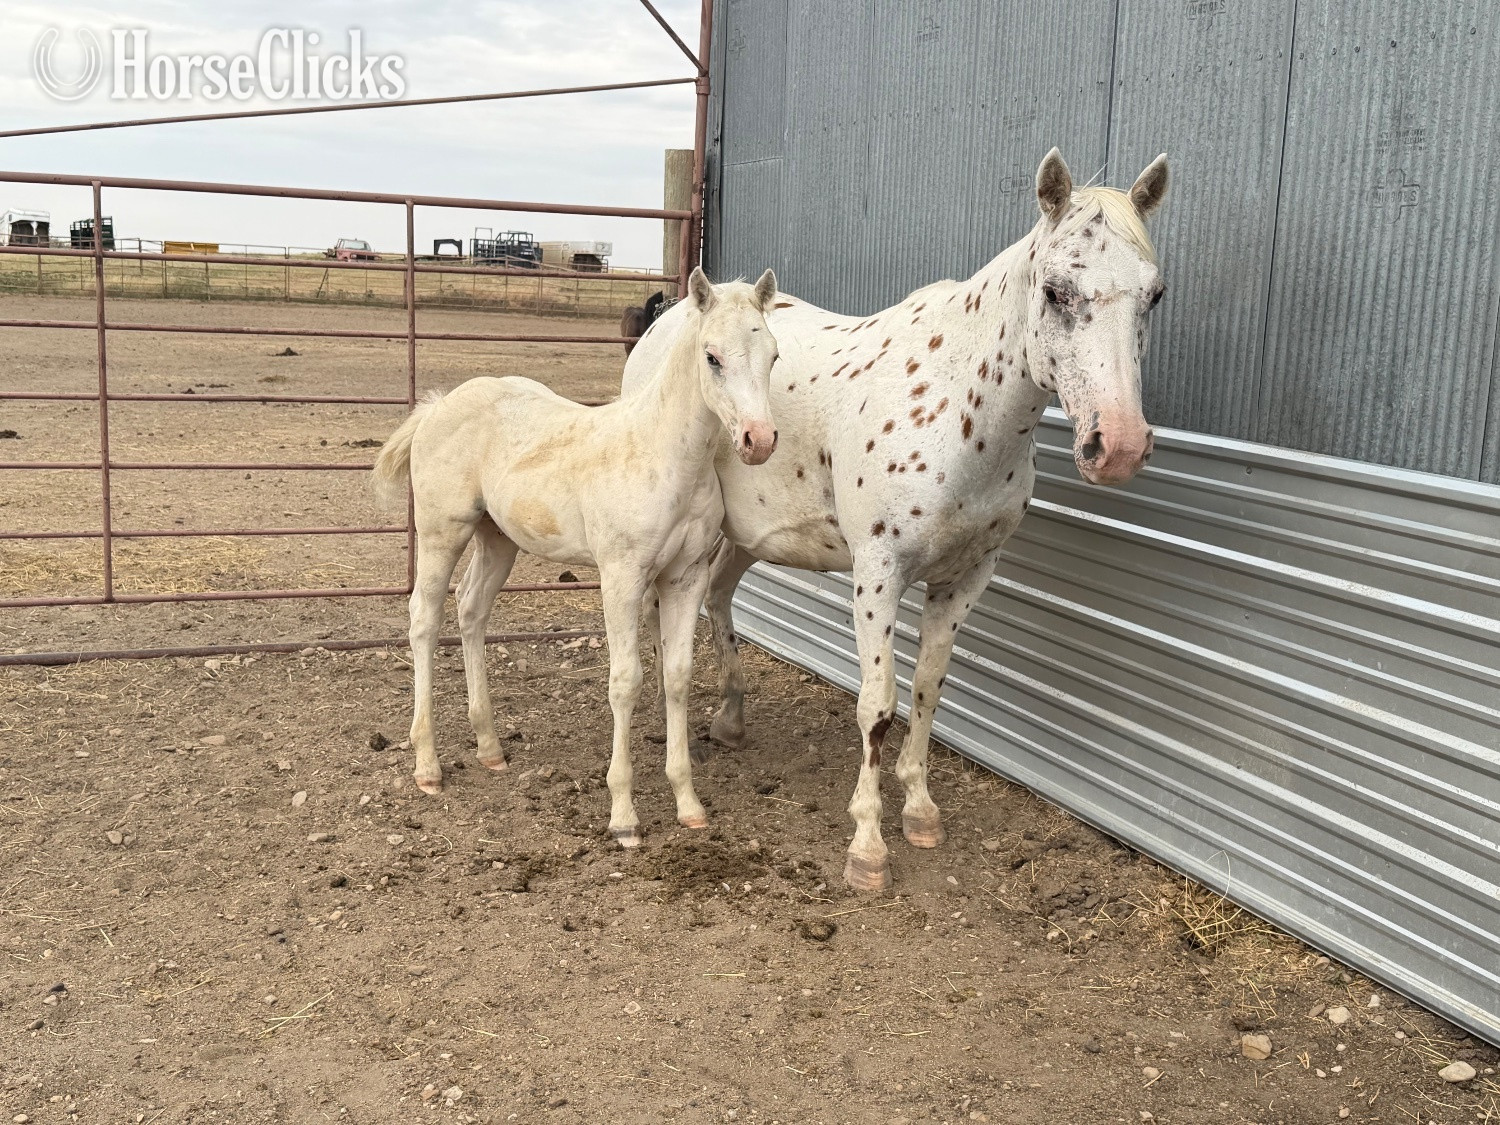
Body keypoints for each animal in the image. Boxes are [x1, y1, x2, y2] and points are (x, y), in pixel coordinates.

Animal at [373, 268, 781, 845]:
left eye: (773, 355)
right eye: (712, 357)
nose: (758, 440)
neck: (666, 457)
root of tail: (436, 406)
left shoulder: (686, 577)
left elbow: (677, 677)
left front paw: (688, 803)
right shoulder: (621, 577)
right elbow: (627, 682)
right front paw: (624, 816)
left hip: (497, 538)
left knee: (471, 610)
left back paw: (490, 747)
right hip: (439, 532)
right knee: (424, 620)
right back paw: (428, 765)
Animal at [621, 149, 1171, 890]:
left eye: (1154, 295)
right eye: (1056, 291)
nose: (1118, 447)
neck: (959, 407)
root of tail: (666, 319)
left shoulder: (967, 576)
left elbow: (928, 688)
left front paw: (919, 810)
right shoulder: (878, 573)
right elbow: (877, 704)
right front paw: (868, 846)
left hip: (745, 535)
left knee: (718, 596)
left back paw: (731, 720)